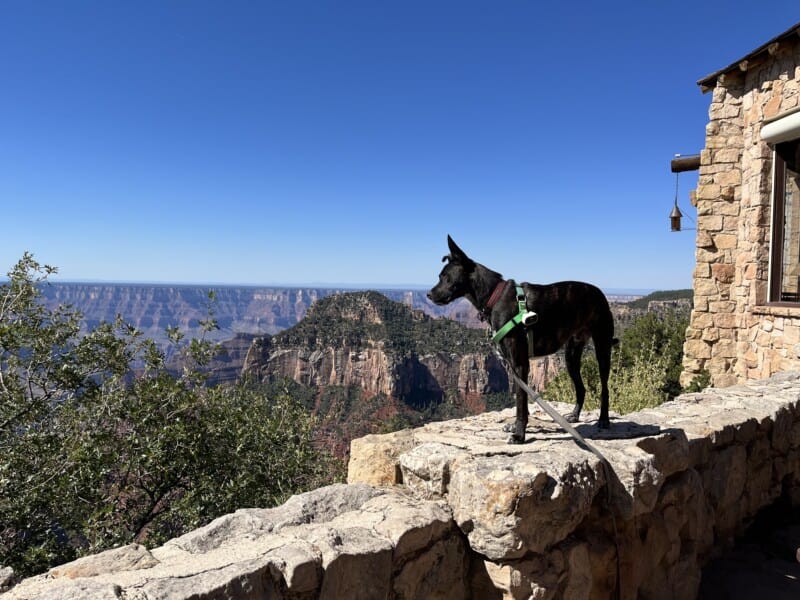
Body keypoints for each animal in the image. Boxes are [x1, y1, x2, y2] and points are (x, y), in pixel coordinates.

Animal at [424, 237, 620, 442]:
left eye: (445, 277)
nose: (429, 294)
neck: (495, 296)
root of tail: (600, 293)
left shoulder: (520, 364)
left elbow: (520, 402)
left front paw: (519, 434)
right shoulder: (514, 366)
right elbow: (521, 402)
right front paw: (516, 428)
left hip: (602, 349)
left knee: (605, 387)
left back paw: (604, 419)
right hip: (571, 356)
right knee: (581, 388)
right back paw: (574, 415)